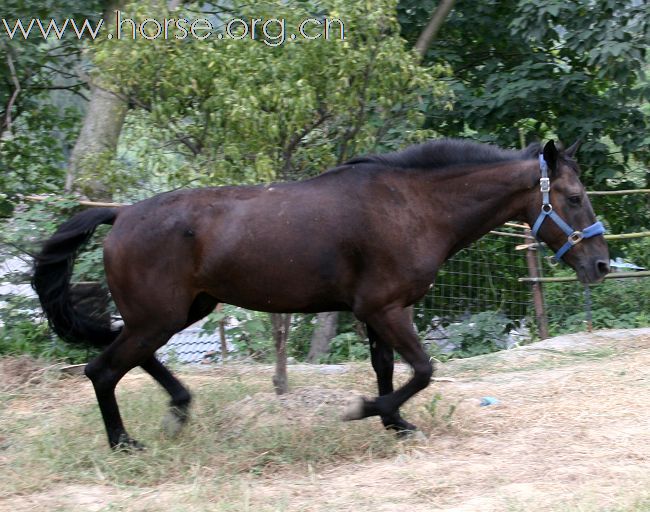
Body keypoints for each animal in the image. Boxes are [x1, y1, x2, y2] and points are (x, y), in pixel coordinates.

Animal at [31, 139, 608, 448]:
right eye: (574, 197)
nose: (600, 264)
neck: (414, 207)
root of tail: (122, 214)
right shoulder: (386, 308)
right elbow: (422, 370)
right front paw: (367, 411)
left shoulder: (375, 311)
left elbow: (387, 369)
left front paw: (395, 423)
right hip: (161, 316)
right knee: (102, 369)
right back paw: (125, 443)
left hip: (180, 311)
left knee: (130, 358)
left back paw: (178, 408)